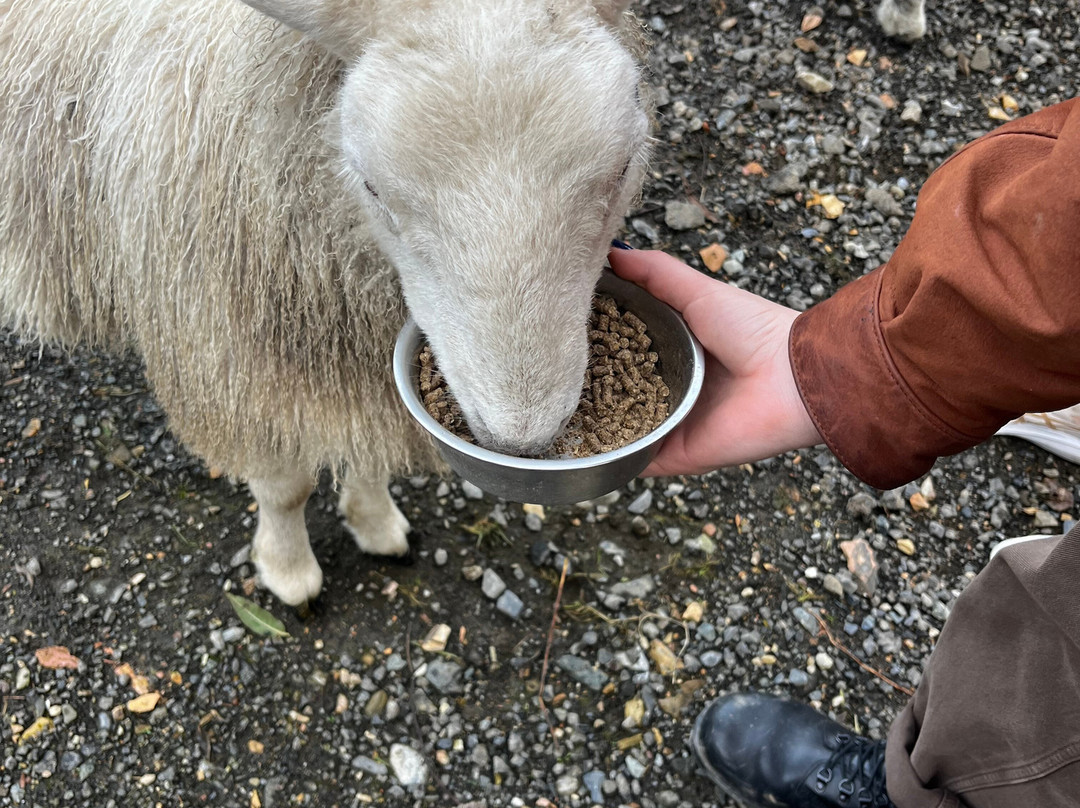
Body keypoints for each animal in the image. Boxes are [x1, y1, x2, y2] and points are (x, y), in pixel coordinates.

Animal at [0, 0, 652, 606]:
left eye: (624, 165)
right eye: (371, 187)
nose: (520, 444)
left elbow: (367, 451)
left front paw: (376, 522)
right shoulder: (232, 354)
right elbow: (285, 486)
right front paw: (289, 571)